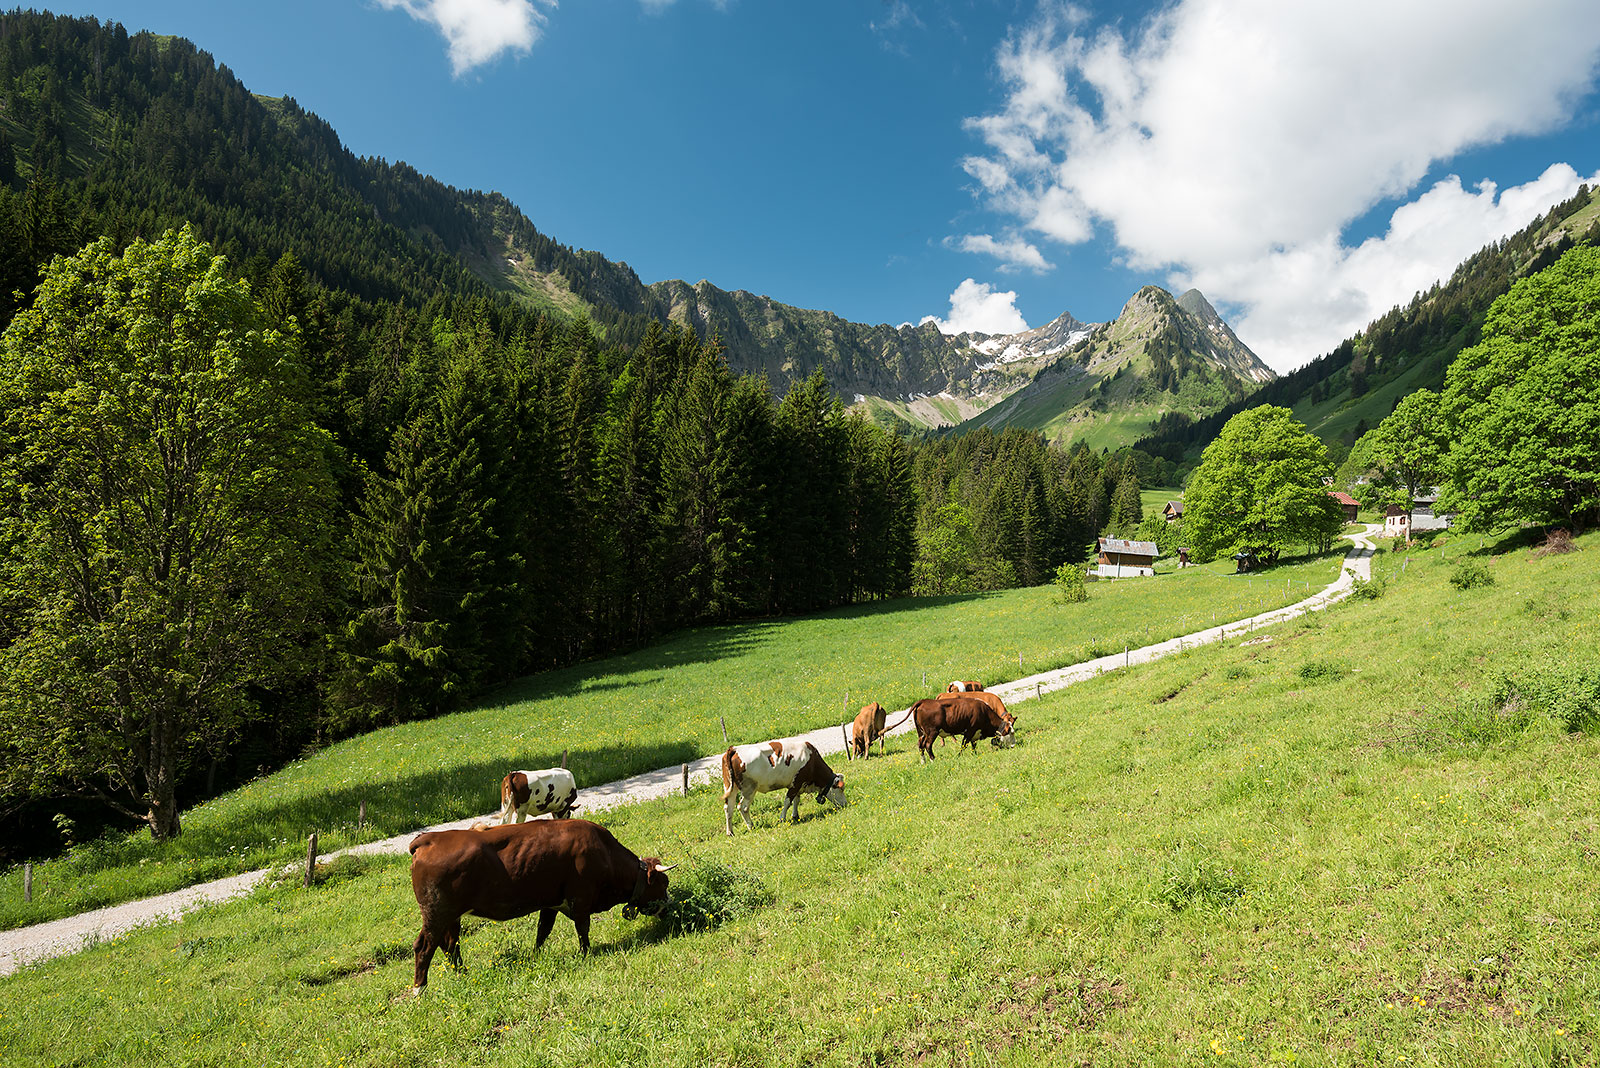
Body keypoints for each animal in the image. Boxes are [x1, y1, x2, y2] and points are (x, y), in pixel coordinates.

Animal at [406, 824, 675, 991]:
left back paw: (462, 974)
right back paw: (420, 989)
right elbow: (583, 930)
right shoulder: (581, 899)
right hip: (436, 913)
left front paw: (536, 956)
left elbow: (542, 931)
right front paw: (585, 954)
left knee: (450, 945)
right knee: (424, 947)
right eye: (664, 882)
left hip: (451, 916)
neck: (605, 853)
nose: (670, 909)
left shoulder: (551, 903)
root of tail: (430, 839)